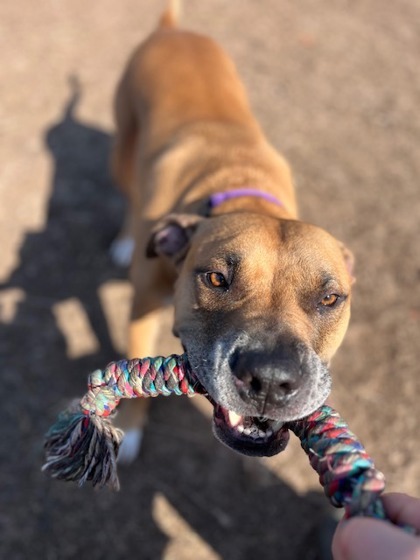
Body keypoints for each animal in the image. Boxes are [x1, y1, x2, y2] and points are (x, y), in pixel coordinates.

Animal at [110, 0, 352, 462]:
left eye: (330, 299)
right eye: (216, 278)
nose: (271, 380)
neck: (238, 187)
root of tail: (172, 30)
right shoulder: (142, 307)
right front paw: (129, 431)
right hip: (124, 143)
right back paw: (125, 241)